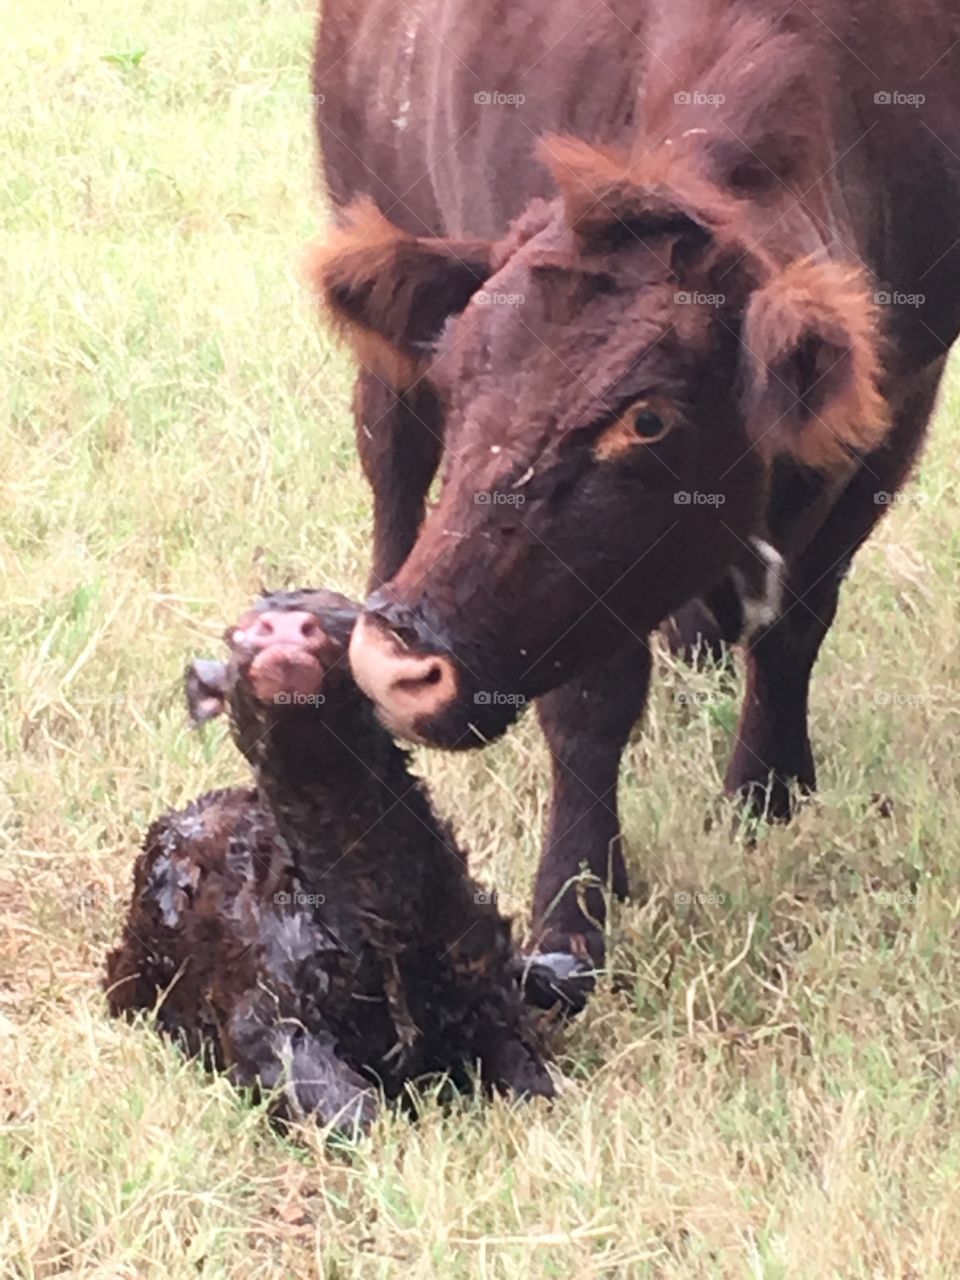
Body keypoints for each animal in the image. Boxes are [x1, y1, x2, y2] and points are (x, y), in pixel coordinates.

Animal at [103, 588, 555, 1131]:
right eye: (238, 634)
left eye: (351, 620)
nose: (281, 629)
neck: (378, 913)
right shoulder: (267, 1014)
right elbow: (349, 1110)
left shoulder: (484, 983)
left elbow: (532, 1080)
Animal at [309, 0, 960, 972]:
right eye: (458, 369)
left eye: (645, 420)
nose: (397, 663)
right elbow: (593, 696)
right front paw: (577, 905)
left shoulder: (899, 403)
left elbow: (797, 625)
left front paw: (768, 792)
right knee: (391, 459)